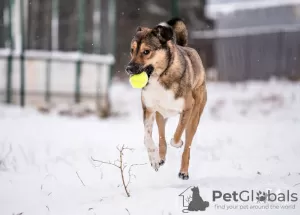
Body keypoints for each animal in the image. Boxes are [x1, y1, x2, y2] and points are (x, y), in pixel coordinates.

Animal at [125, 18, 207, 180]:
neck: (161, 76)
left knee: (187, 146)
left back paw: (183, 171)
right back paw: (160, 158)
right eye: (132, 50)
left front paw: (177, 142)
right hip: (161, 116)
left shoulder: (187, 108)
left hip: (195, 116)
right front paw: (154, 159)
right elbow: (147, 138)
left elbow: (177, 134)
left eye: (146, 51)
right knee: (162, 138)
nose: (129, 69)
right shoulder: (149, 109)